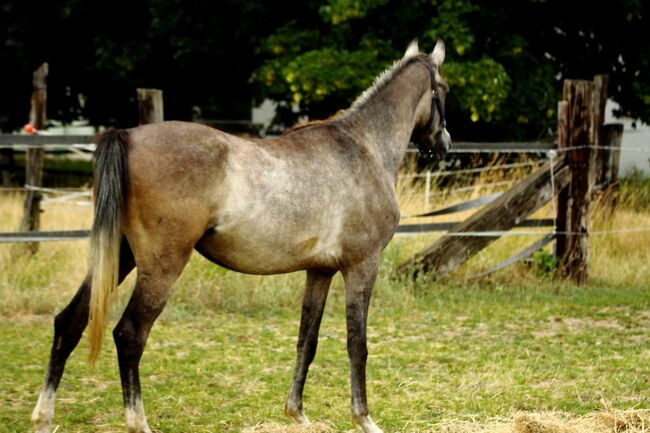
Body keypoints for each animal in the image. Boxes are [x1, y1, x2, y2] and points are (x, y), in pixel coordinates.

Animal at [31, 39, 450, 432]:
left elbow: (307, 339)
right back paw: (138, 422)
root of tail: (128, 137)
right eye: (443, 89)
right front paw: (364, 419)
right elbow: (356, 344)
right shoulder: (362, 266)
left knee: (69, 322)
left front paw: (297, 413)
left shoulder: (320, 271)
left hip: (119, 256)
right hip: (160, 267)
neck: (363, 147)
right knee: (130, 334)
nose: (444, 144)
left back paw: (43, 417)